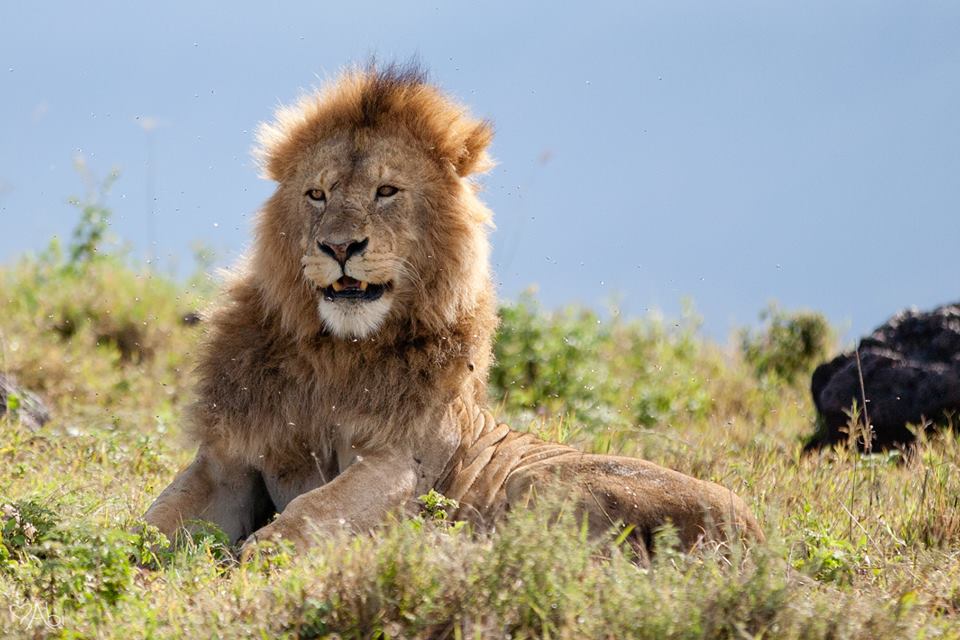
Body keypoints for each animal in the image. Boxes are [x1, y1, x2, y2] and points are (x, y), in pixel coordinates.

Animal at [143, 63, 763, 559]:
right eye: (316, 195)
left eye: (386, 192)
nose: (339, 247)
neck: (335, 356)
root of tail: (759, 538)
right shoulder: (227, 462)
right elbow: (153, 523)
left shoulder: (402, 460)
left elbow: (310, 514)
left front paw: (250, 558)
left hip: (553, 484)